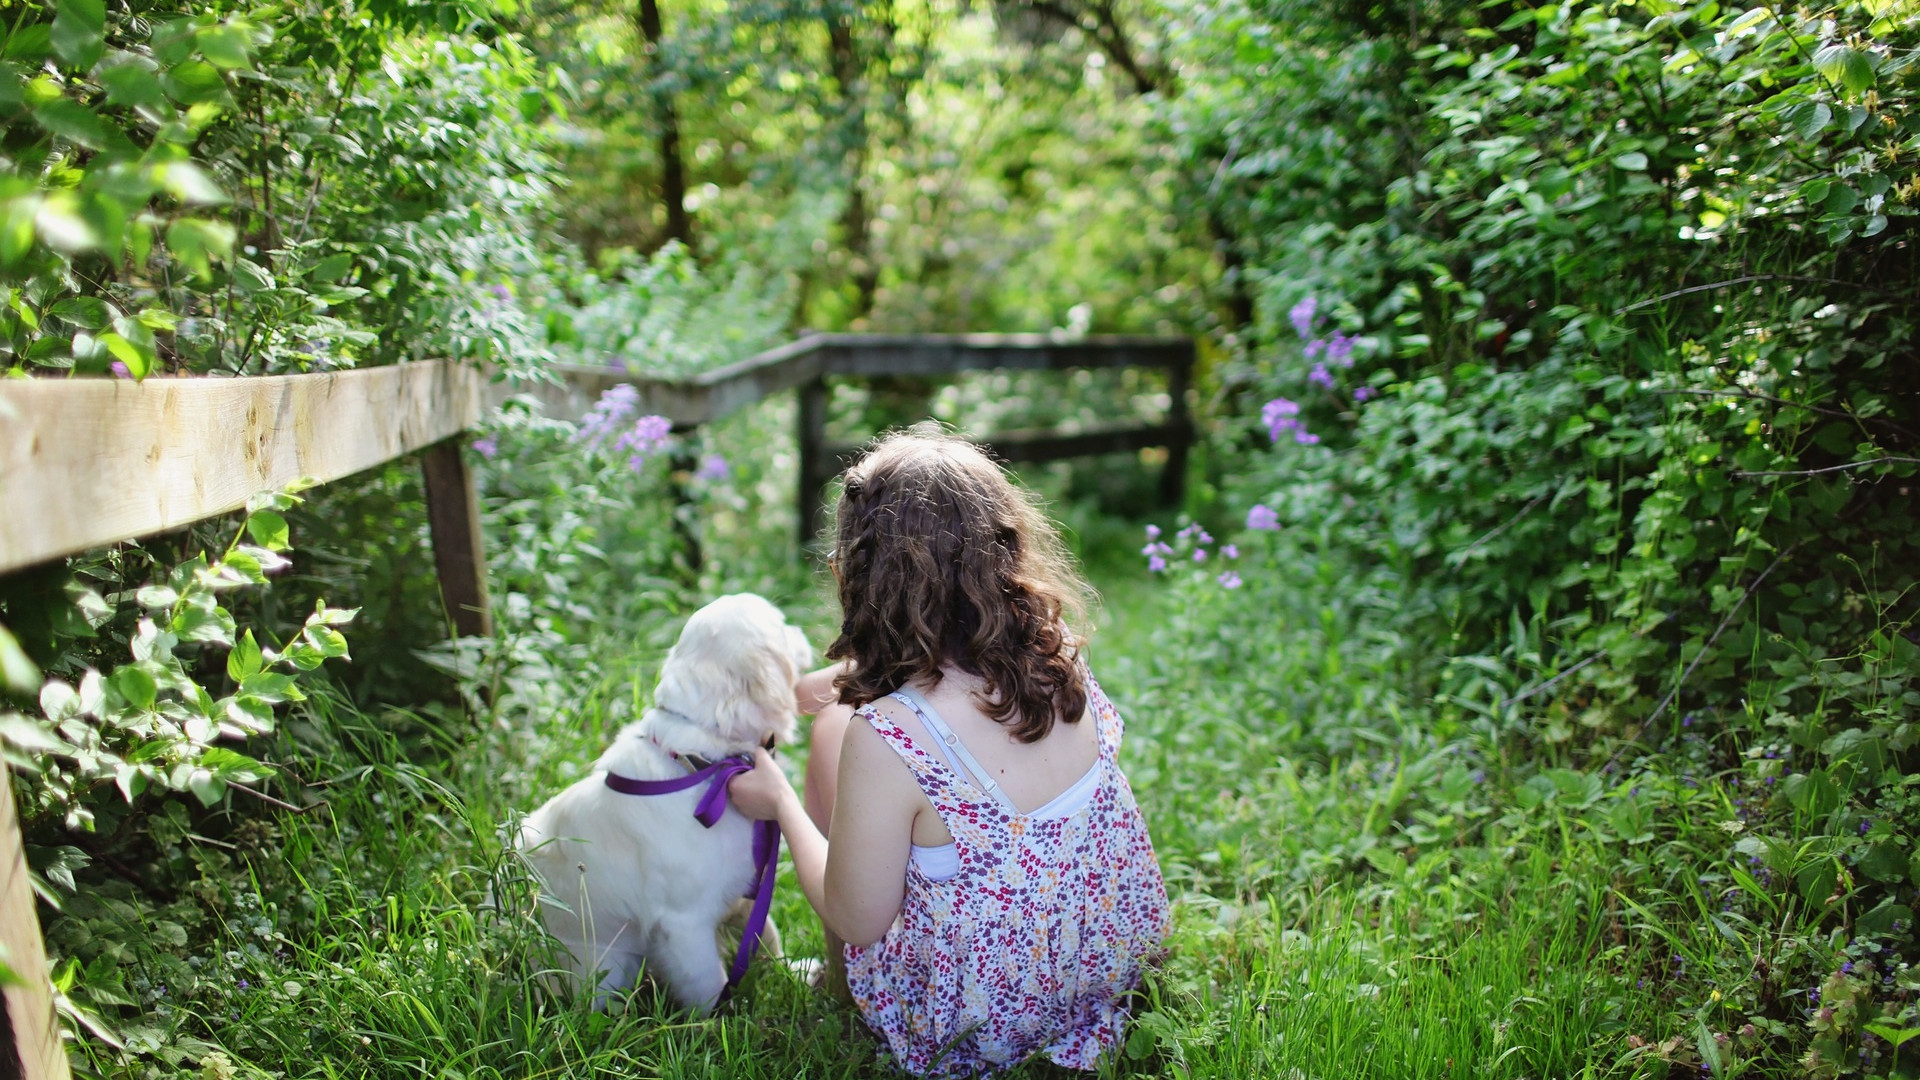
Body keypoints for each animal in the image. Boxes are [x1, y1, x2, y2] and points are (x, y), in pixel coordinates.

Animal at [514, 588, 806, 1006]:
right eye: (781, 626)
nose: (802, 631)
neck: (703, 765)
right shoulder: (684, 924)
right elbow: (710, 985)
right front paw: (722, 1019)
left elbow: (766, 934)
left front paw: (795, 973)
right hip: (607, 968)